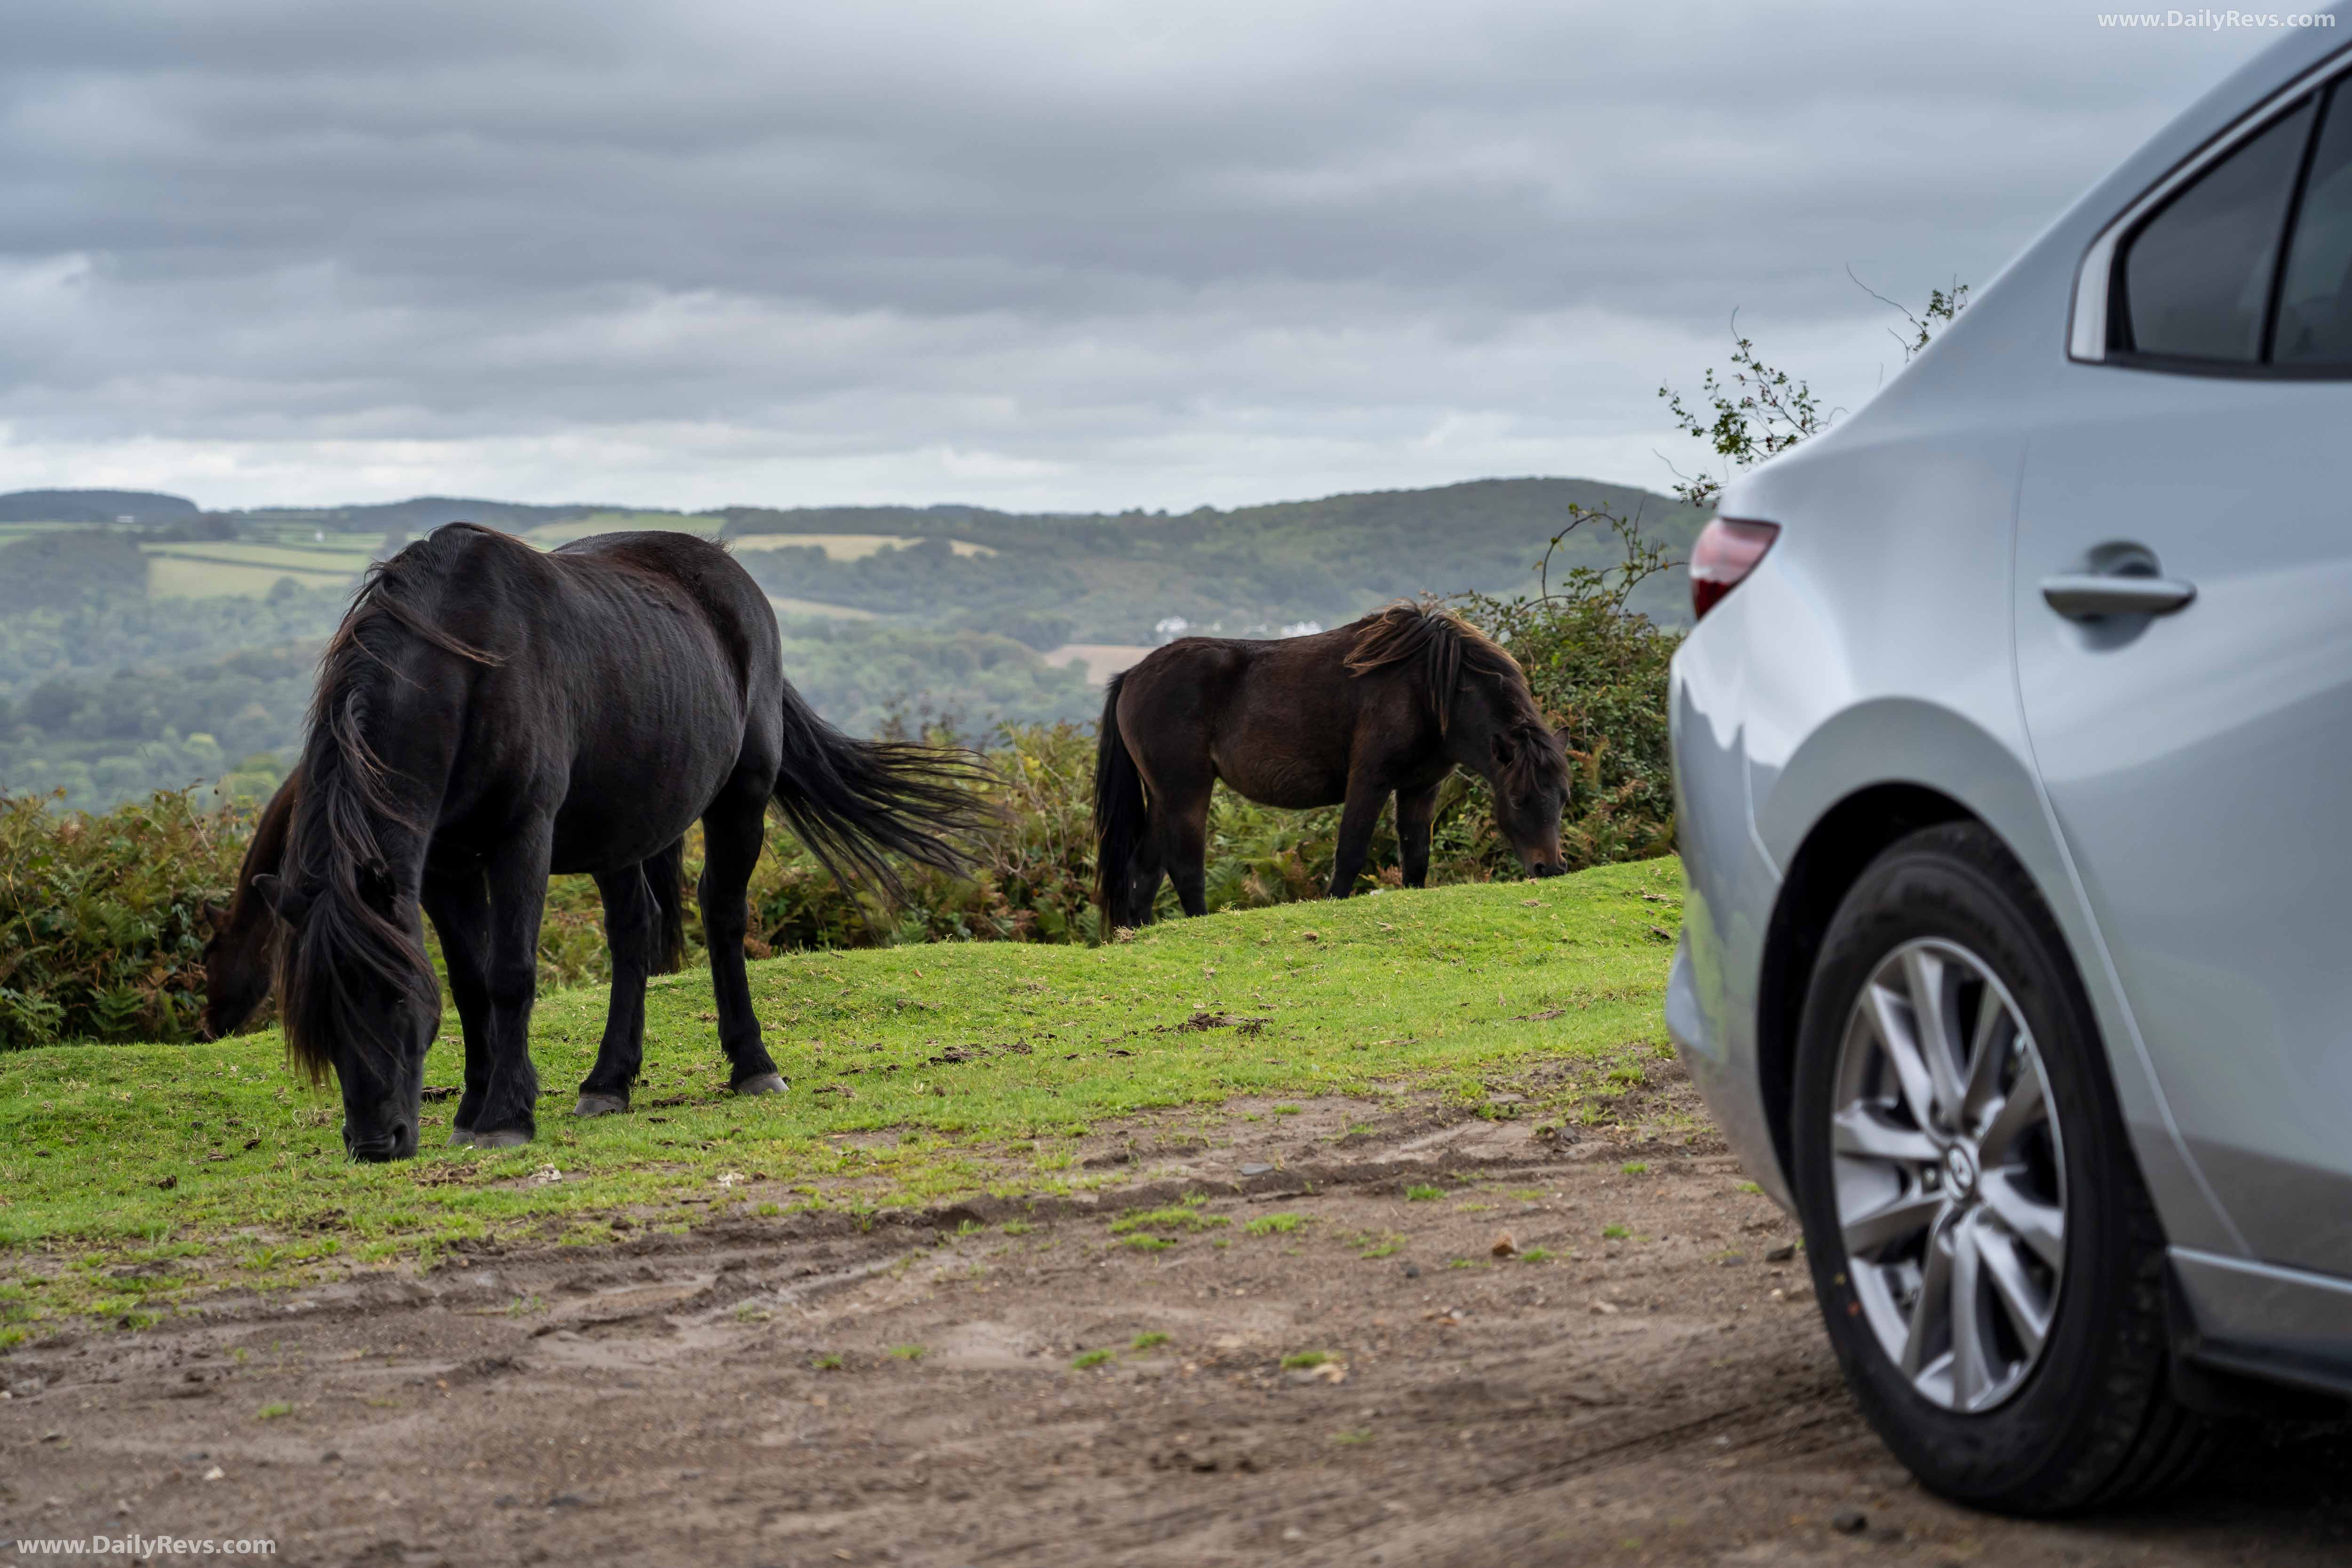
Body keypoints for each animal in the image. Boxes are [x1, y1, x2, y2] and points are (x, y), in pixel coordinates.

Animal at [262, 533, 978, 1161]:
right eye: (318, 1020)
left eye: (393, 995)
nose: (374, 1144)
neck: (469, 665)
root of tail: (732, 578)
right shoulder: (442, 866)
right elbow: (469, 983)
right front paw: (472, 1110)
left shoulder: (522, 838)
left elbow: (510, 975)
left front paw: (506, 1117)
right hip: (621, 831)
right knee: (635, 932)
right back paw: (608, 1082)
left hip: (741, 801)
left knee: (722, 916)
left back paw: (752, 1065)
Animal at [1091, 595, 1571, 926]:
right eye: (1517, 798)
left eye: (1563, 797)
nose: (1549, 868)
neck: (1431, 689)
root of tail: (1131, 675)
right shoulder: (1370, 781)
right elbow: (1351, 853)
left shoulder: (1421, 786)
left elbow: (1416, 857)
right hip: (1186, 792)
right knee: (1185, 867)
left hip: (1161, 796)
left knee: (1143, 871)